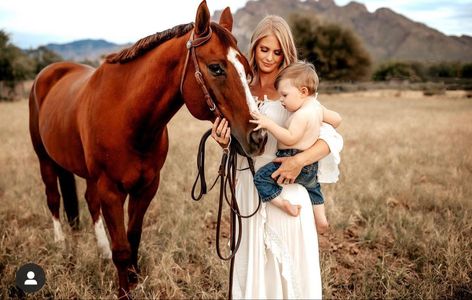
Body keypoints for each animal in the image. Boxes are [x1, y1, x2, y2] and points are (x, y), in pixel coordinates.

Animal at [28, 1, 266, 296]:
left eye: (247, 68)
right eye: (216, 68)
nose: (258, 136)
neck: (128, 117)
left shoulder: (147, 187)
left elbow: (133, 237)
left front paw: (134, 278)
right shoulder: (111, 191)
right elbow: (121, 248)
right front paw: (124, 291)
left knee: (89, 202)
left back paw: (100, 249)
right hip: (46, 160)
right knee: (53, 198)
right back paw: (61, 244)